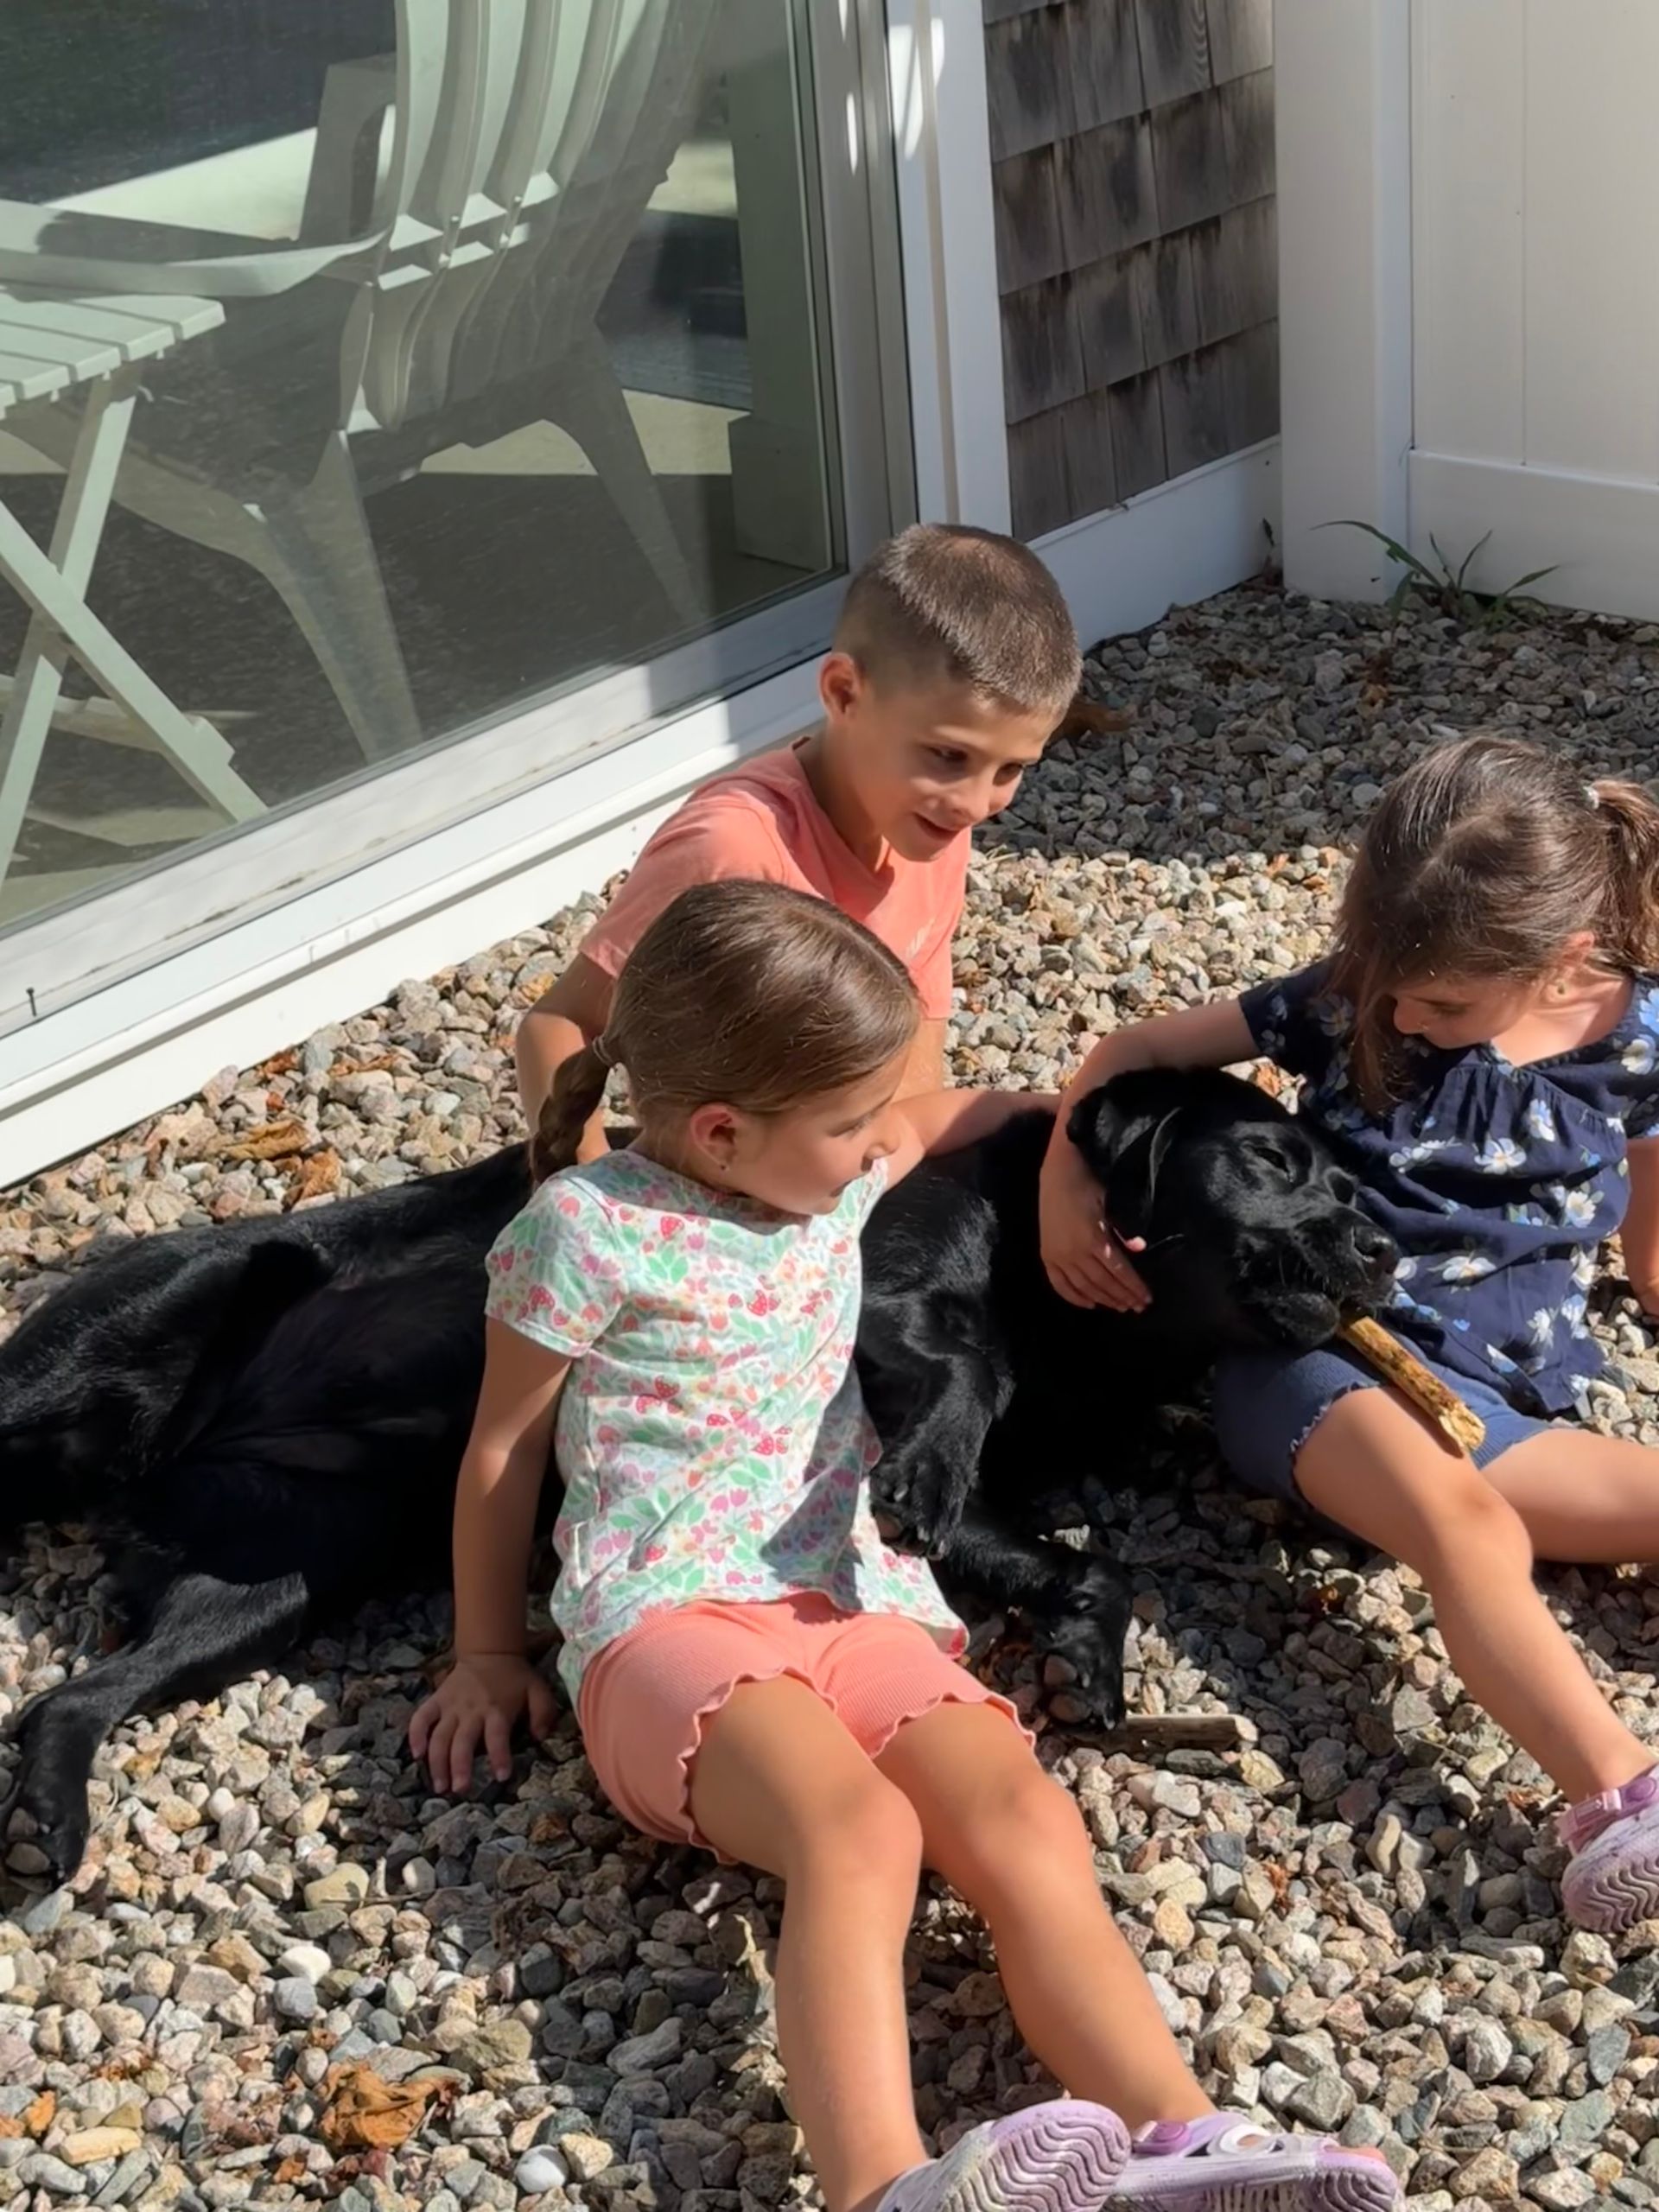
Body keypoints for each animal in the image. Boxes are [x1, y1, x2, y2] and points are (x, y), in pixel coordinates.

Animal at [0, 1070, 1394, 1886]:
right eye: (1271, 1163)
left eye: (1348, 1179)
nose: (1383, 1243)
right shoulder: (881, 1288)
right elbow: (964, 1366)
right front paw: (948, 1461)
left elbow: (1078, 1559)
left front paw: (1093, 1657)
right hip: (88, 1371)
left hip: (269, 1582)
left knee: (67, 1700)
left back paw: (49, 1819)